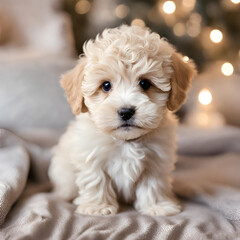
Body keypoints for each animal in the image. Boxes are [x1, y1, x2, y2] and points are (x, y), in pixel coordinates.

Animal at [48, 24, 195, 216]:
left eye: (145, 84)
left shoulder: (156, 161)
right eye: (106, 86)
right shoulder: (91, 155)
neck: (126, 142)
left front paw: (157, 206)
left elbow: (153, 185)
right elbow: (96, 180)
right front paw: (98, 207)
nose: (125, 112)